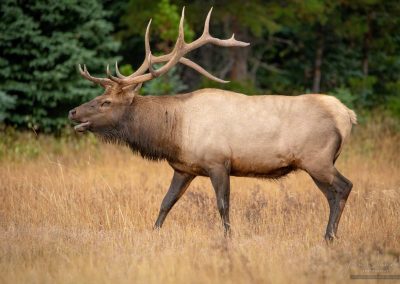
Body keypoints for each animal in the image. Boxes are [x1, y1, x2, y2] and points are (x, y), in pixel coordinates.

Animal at [69, 7, 356, 242]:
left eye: (105, 102)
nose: (73, 112)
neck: (173, 133)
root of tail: (347, 115)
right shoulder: (184, 168)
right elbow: (166, 202)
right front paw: (153, 232)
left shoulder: (218, 162)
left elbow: (222, 205)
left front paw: (228, 238)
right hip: (317, 163)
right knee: (332, 194)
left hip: (317, 158)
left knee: (344, 187)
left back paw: (329, 237)